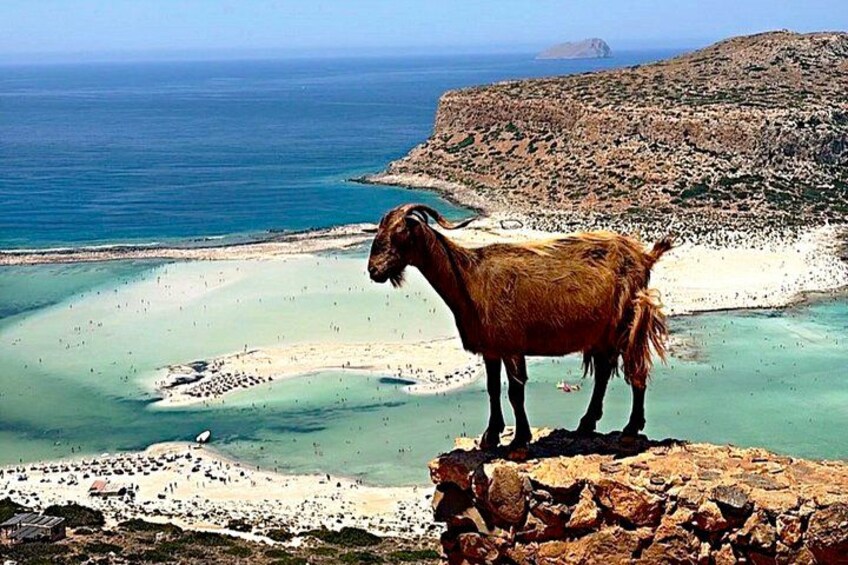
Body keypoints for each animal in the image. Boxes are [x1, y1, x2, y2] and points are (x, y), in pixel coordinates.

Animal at [367, 203, 672, 451]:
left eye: (399, 232)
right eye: (378, 231)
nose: (374, 270)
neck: (469, 277)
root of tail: (645, 257)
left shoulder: (512, 345)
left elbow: (515, 392)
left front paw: (519, 440)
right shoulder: (491, 349)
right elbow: (492, 388)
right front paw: (491, 436)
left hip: (628, 320)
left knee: (636, 369)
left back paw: (630, 430)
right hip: (602, 333)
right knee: (604, 373)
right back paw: (586, 424)